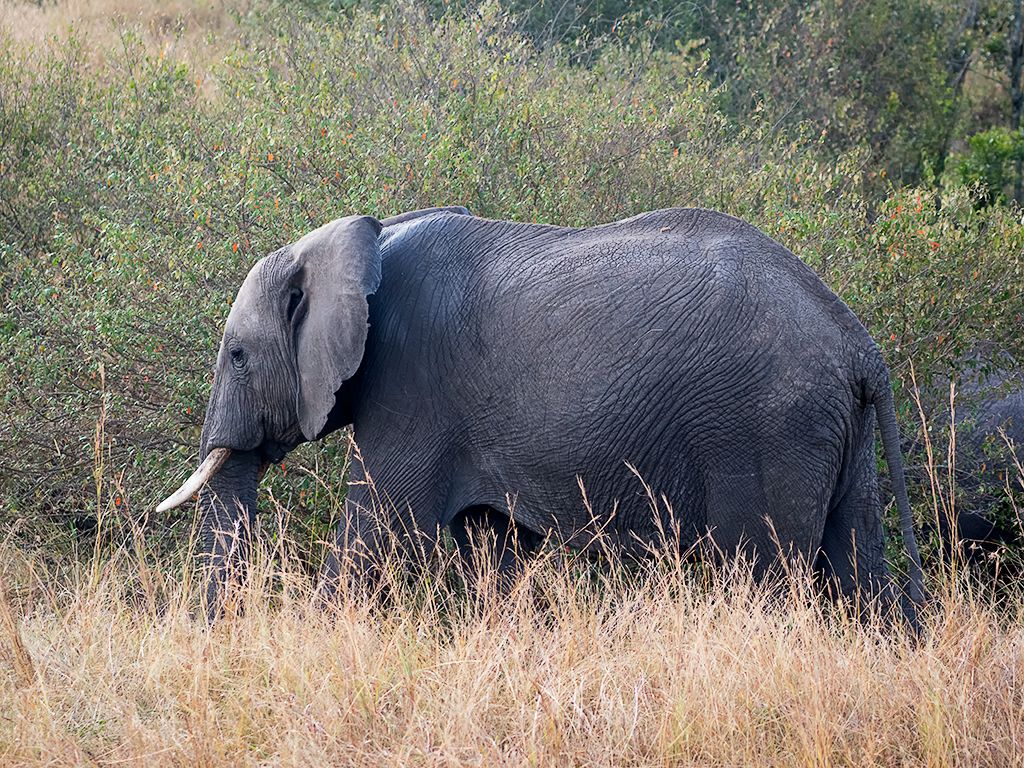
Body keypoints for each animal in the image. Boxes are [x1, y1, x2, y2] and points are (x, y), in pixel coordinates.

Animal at [156, 205, 926, 622]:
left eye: (237, 357)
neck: (365, 239)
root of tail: (860, 345)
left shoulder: (411, 390)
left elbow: (375, 537)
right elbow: (491, 549)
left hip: (770, 430)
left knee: (767, 578)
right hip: (833, 432)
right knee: (859, 570)